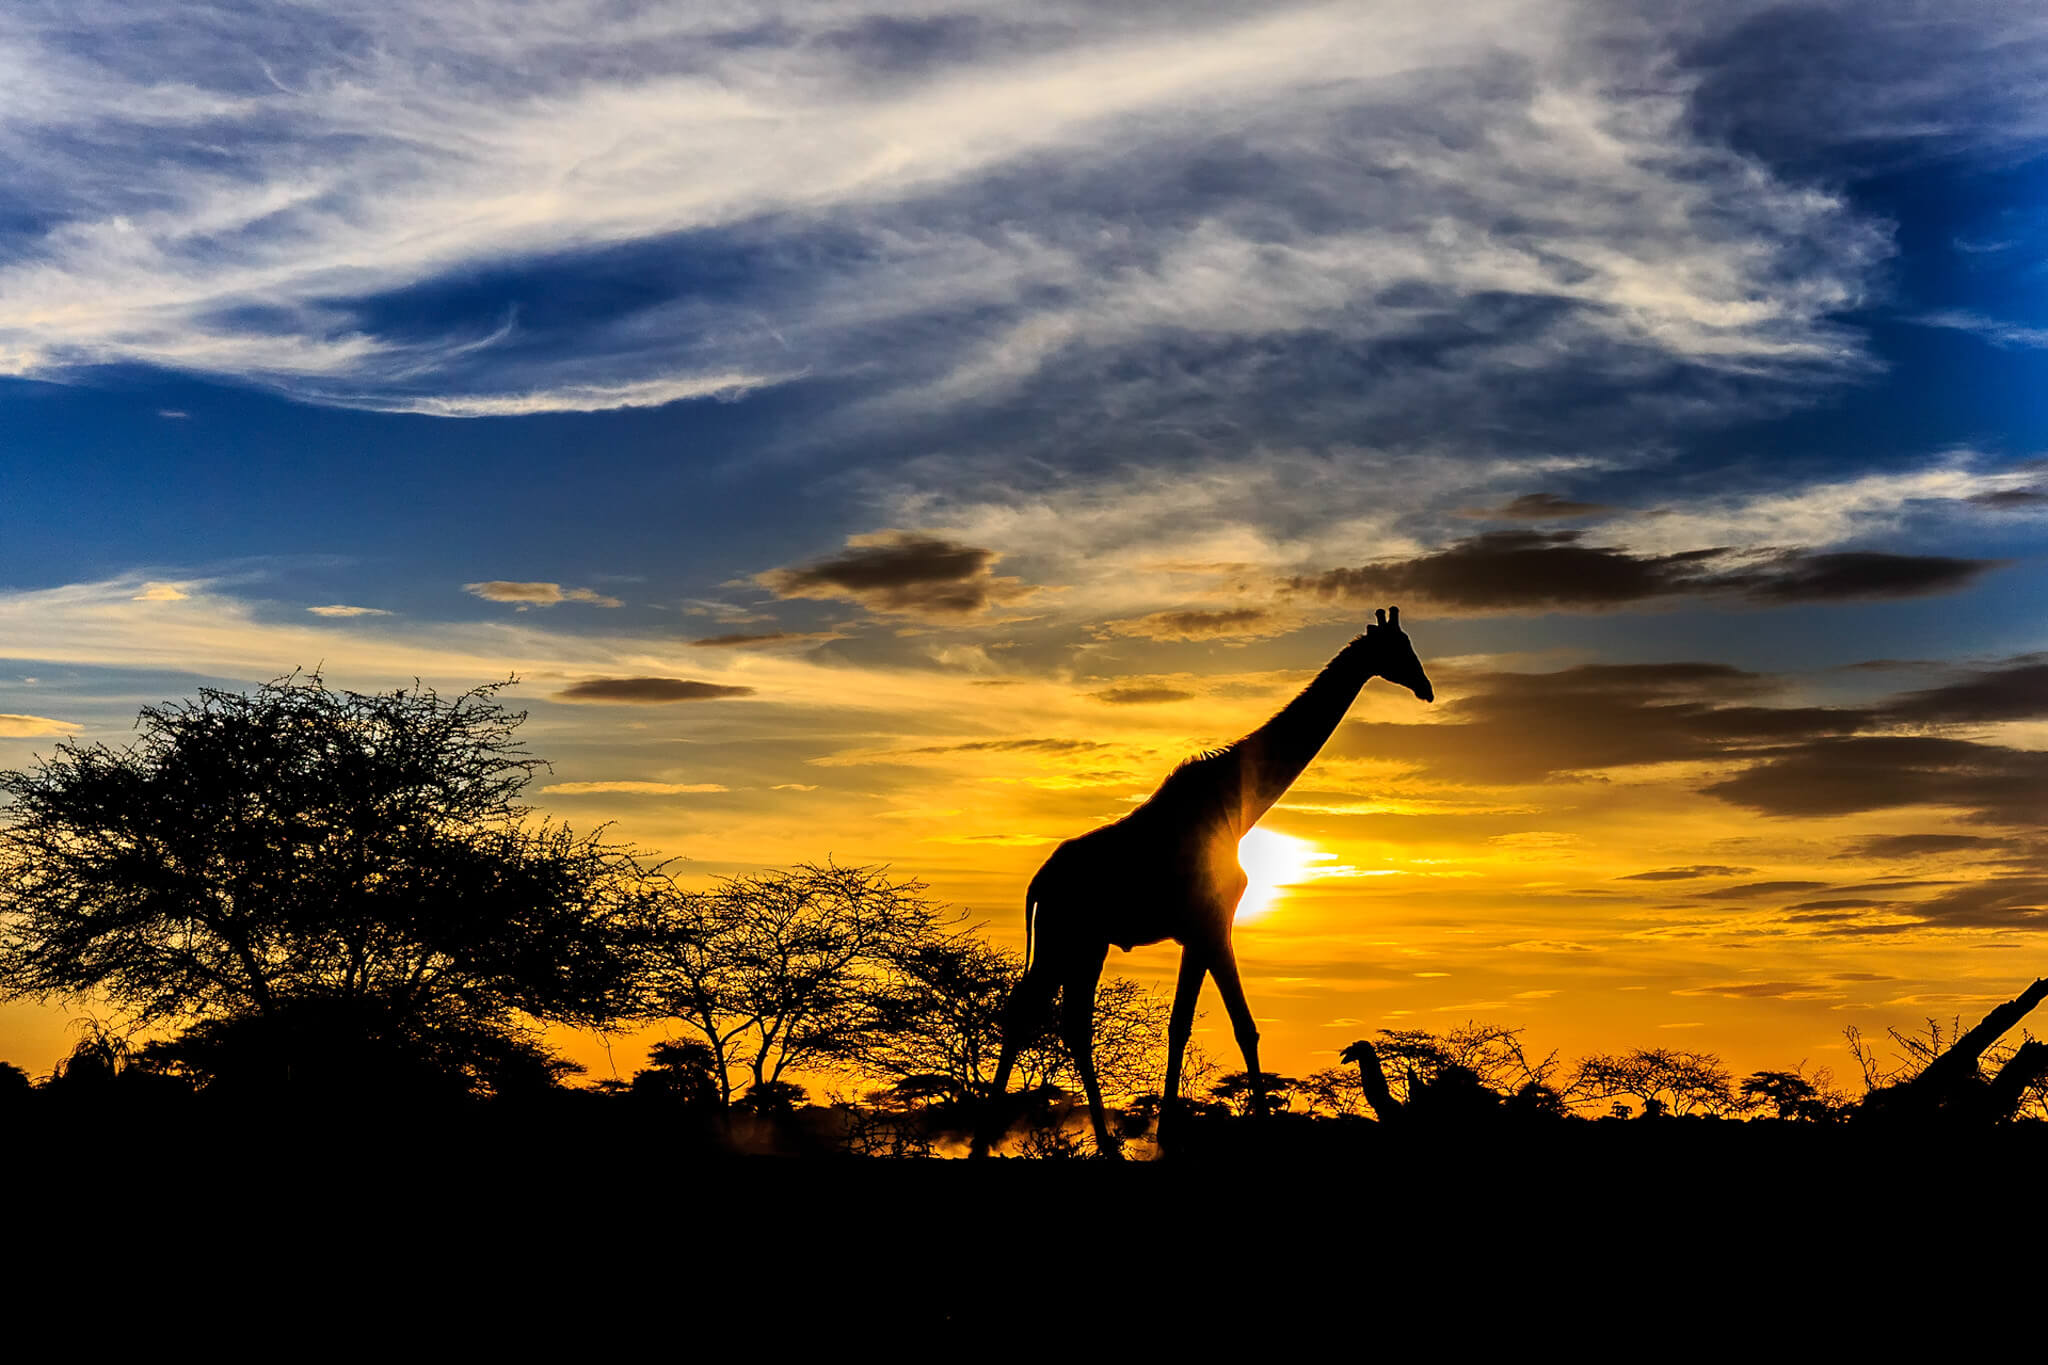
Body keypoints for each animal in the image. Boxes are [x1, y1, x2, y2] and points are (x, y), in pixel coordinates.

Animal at [971, 606, 1434, 1157]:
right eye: (1399, 648)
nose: (1427, 688)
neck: (1239, 806)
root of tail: (1038, 883)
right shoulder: (1214, 922)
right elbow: (1243, 1026)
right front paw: (1254, 1129)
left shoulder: (1196, 932)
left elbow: (1181, 1024)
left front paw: (1170, 1132)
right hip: (1065, 939)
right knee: (1027, 1016)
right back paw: (985, 1141)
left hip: (1086, 945)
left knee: (1071, 1025)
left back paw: (1103, 1144)